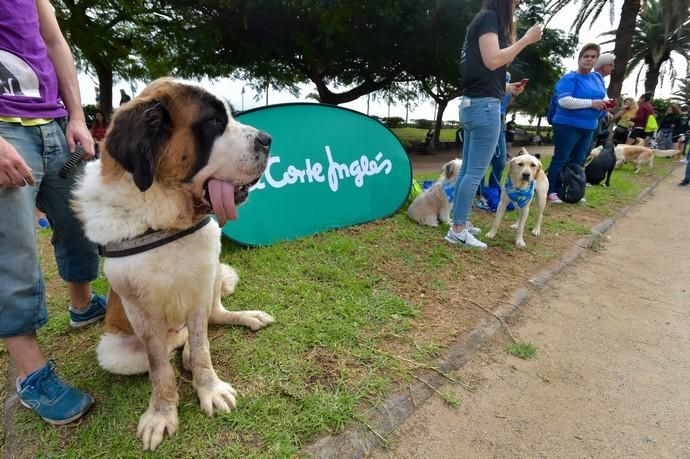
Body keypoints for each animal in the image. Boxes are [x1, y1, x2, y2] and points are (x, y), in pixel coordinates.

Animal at [70, 78, 274, 450]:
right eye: (214, 123)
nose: (267, 139)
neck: (163, 219)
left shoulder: (200, 285)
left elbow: (204, 343)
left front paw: (209, 388)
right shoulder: (142, 315)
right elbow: (160, 368)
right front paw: (161, 414)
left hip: (212, 277)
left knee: (211, 319)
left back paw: (238, 322)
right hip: (114, 351)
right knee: (169, 350)